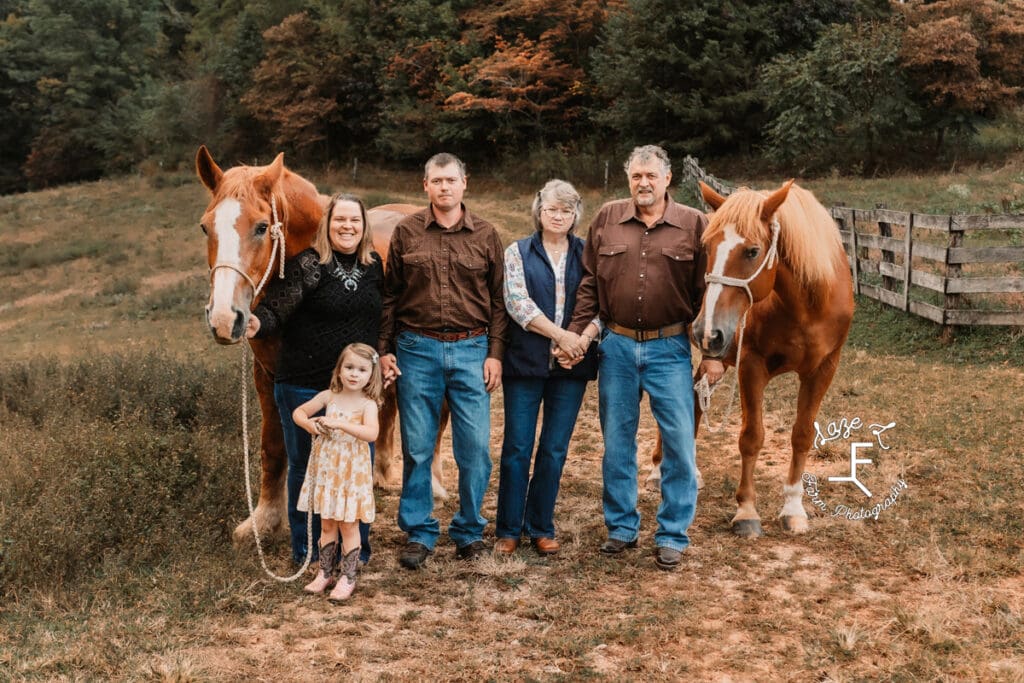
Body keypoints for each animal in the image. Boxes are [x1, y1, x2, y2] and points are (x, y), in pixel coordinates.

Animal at [192, 147, 448, 548]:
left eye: (262, 227)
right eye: (206, 227)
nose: (223, 318)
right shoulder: (267, 375)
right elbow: (273, 447)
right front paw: (265, 520)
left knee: (437, 422)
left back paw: (433, 486)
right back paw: (382, 474)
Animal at [647, 181, 856, 540]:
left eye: (753, 251)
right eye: (706, 248)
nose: (706, 330)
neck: (807, 305)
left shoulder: (823, 369)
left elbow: (802, 435)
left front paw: (793, 509)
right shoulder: (751, 366)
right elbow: (751, 438)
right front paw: (746, 511)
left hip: (713, 357)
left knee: (693, 400)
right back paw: (660, 470)